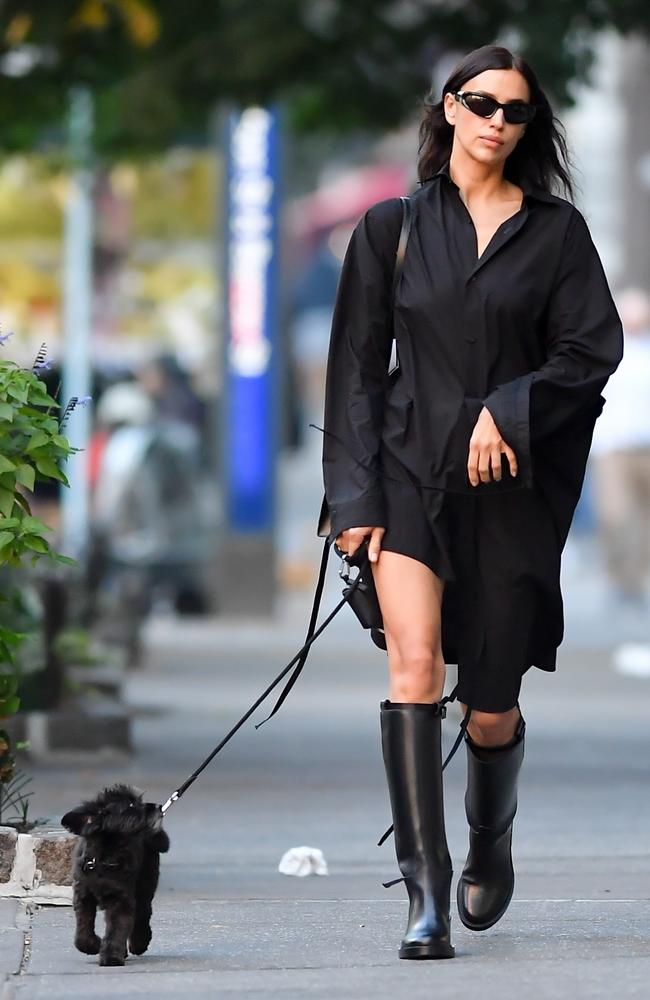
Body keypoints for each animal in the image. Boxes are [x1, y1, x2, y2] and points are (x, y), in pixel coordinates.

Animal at [61, 784, 170, 964]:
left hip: (145, 884)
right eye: (130, 806)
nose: (158, 806)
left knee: (143, 913)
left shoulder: (121, 899)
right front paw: (94, 945)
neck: (104, 857)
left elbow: (117, 928)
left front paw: (111, 956)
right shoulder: (83, 897)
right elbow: (83, 932)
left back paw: (140, 943)